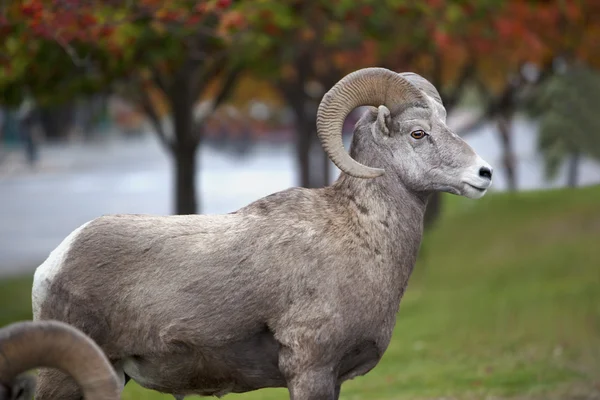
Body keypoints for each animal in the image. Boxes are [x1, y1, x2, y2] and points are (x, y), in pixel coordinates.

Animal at [30, 67, 494, 398]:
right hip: (63, 380)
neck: (362, 234)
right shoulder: (310, 371)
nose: (484, 174)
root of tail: (51, 265)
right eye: (418, 133)